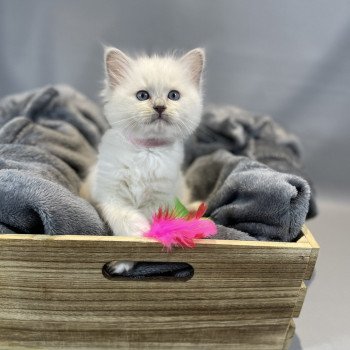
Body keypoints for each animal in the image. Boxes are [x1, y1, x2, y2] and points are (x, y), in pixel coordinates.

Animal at [82, 46, 205, 274]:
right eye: (142, 96)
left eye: (173, 95)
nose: (160, 107)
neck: (146, 152)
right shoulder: (111, 196)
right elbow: (125, 224)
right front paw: (122, 259)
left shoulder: (158, 201)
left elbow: (149, 232)